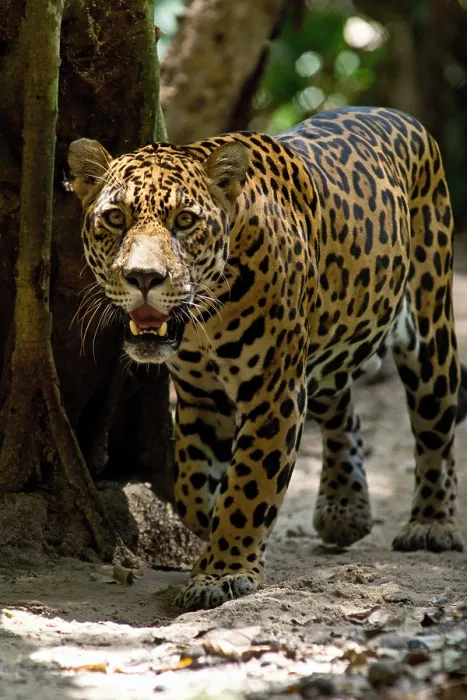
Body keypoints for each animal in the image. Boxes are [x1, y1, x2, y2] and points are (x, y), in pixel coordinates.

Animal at [69, 107, 467, 612]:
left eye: (184, 221)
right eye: (116, 218)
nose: (144, 277)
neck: (207, 317)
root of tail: (400, 116)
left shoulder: (273, 392)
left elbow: (250, 483)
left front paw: (222, 572)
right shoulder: (201, 397)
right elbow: (190, 488)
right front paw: (214, 527)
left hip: (431, 328)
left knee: (435, 430)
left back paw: (431, 524)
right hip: (326, 343)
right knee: (341, 408)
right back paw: (344, 510)